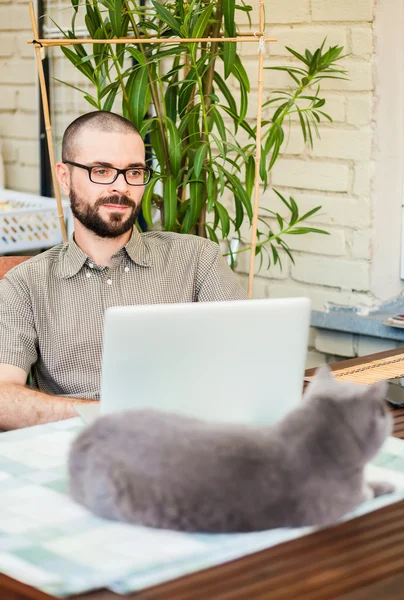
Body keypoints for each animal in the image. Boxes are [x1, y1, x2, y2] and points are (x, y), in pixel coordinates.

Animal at [68, 366, 394, 536]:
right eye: (384, 412)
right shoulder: (344, 499)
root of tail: (82, 438)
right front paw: (386, 485)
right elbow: (366, 491)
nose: (390, 414)